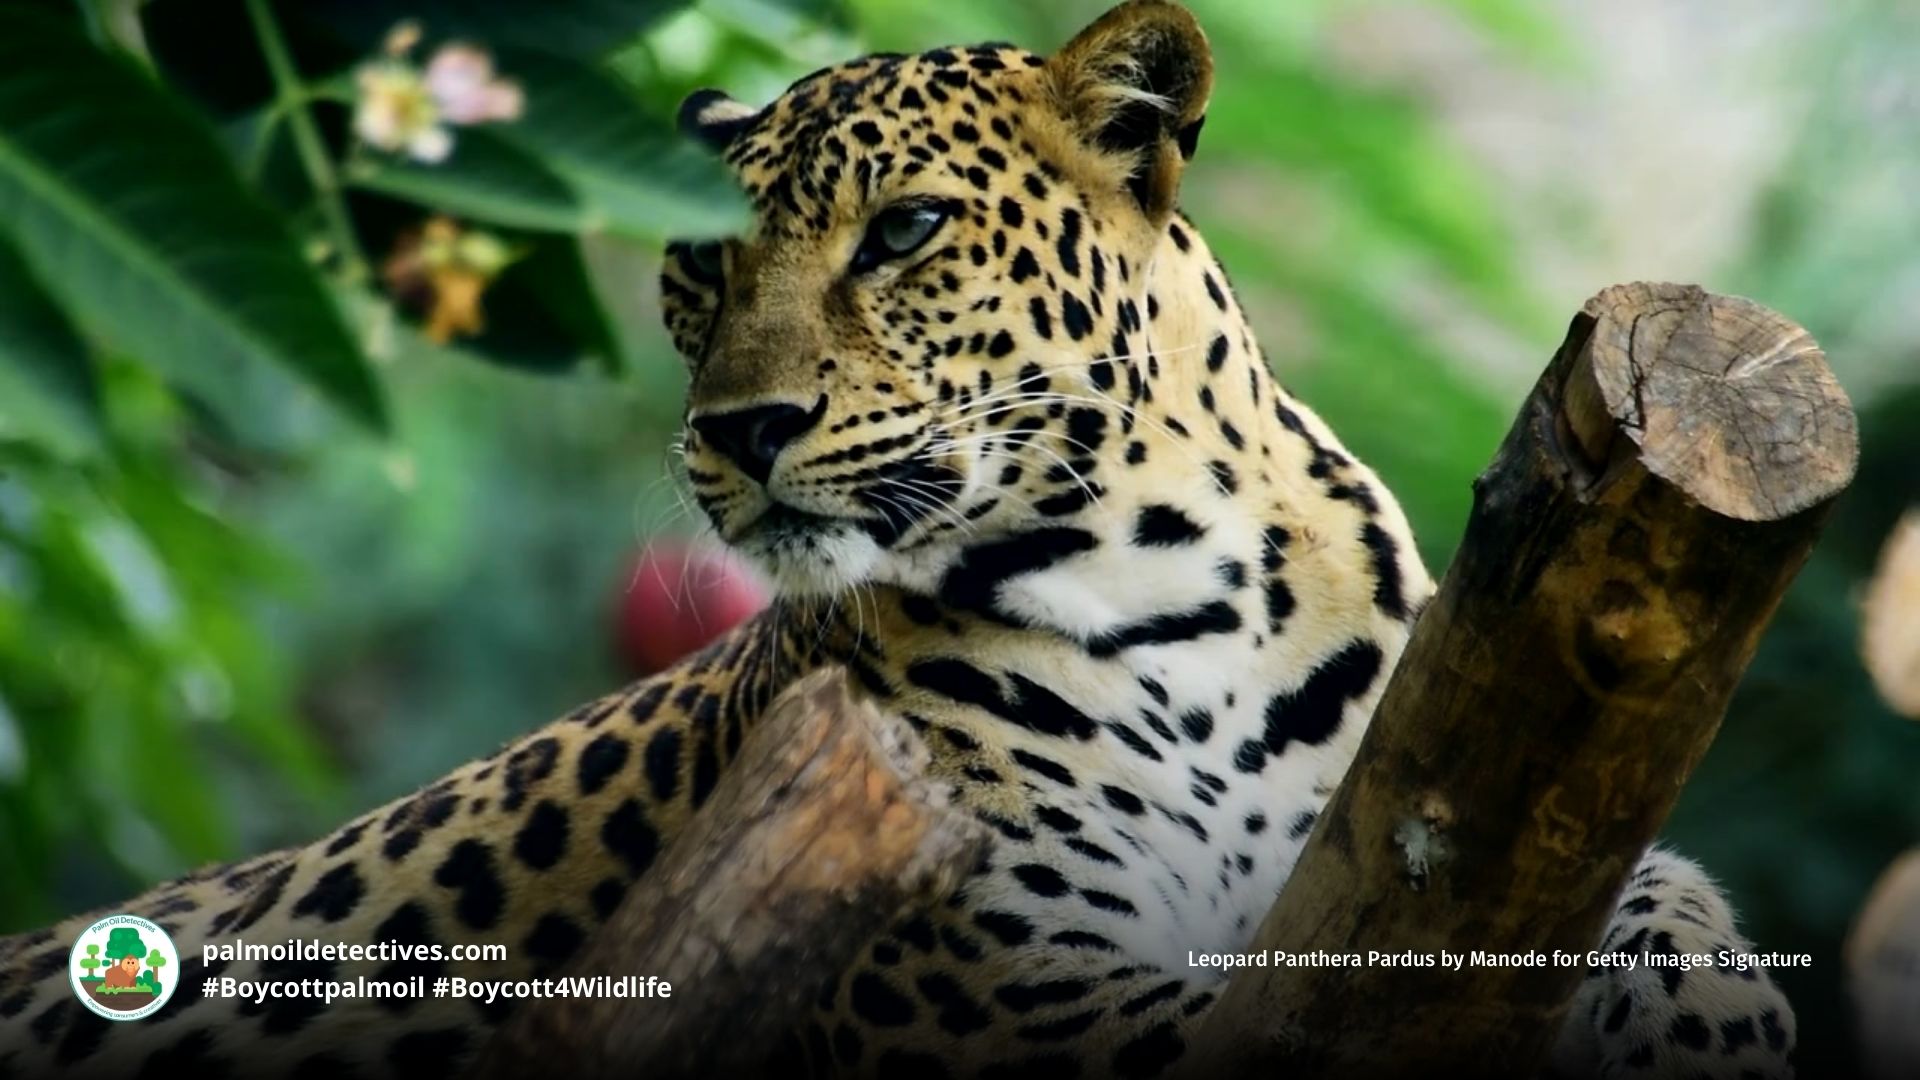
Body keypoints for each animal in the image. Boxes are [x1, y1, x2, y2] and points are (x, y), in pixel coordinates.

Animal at [0, 3, 1798, 1077]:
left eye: (908, 231)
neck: (1184, 594)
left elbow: (1675, 890)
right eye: (697, 269)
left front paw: (1714, 1013)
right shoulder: (977, 977)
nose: (740, 429)